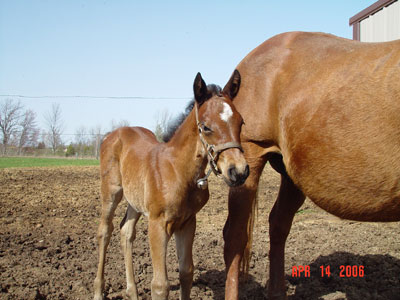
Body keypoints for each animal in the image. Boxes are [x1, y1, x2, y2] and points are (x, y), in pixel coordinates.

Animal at [94, 72, 250, 300]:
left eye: (241, 122)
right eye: (206, 127)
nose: (238, 171)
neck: (178, 171)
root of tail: (112, 134)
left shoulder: (187, 222)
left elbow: (186, 272)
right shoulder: (158, 223)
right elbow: (160, 285)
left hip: (135, 200)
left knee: (126, 231)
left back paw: (132, 292)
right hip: (111, 191)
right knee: (105, 232)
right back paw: (98, 291)